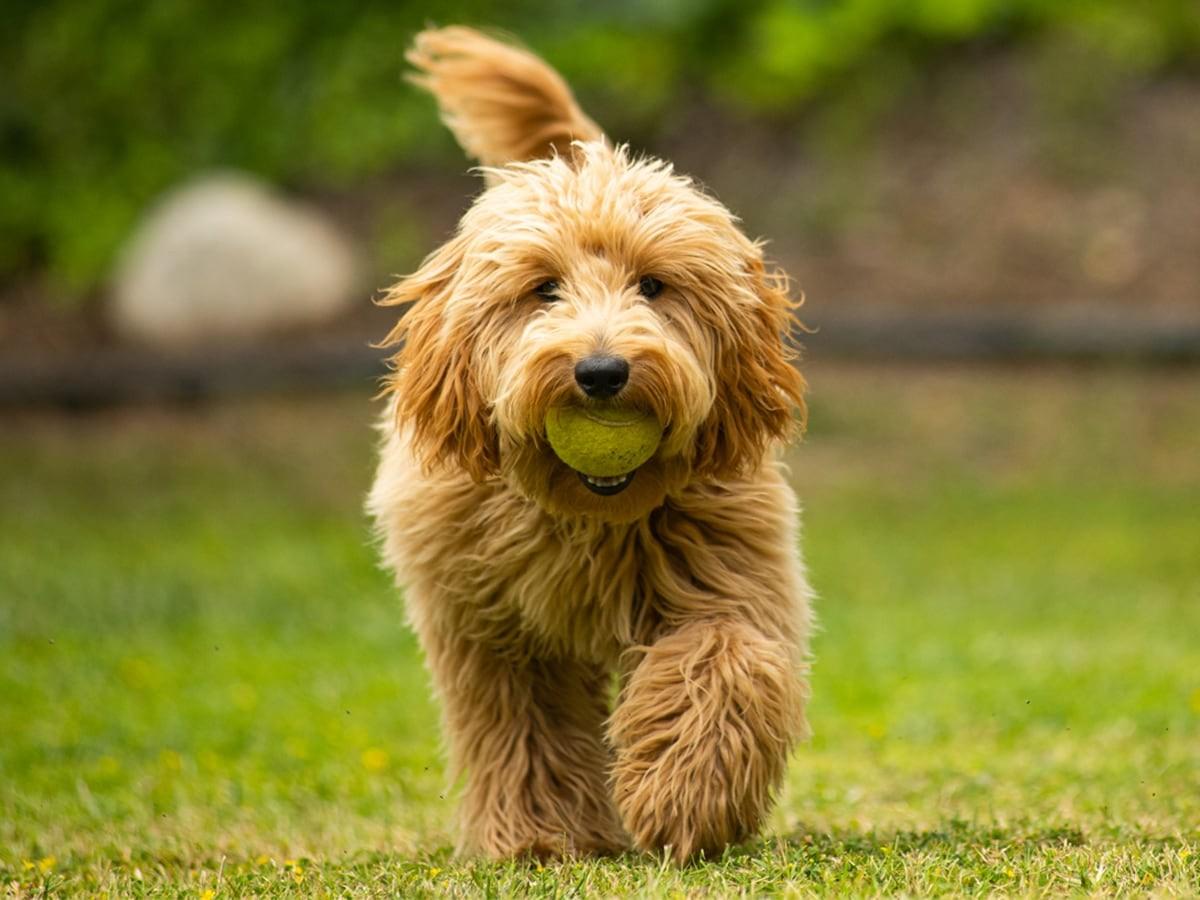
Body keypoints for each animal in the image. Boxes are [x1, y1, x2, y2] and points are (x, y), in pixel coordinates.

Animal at [367, 24, 816, 864]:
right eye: (543, 288)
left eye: (653, 285)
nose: (602, 372)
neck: (583, 515)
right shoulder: (491, 628)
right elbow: (522, 727)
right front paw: (542, 837)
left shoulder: (728, 573)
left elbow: (725, 660)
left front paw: (683, 794)